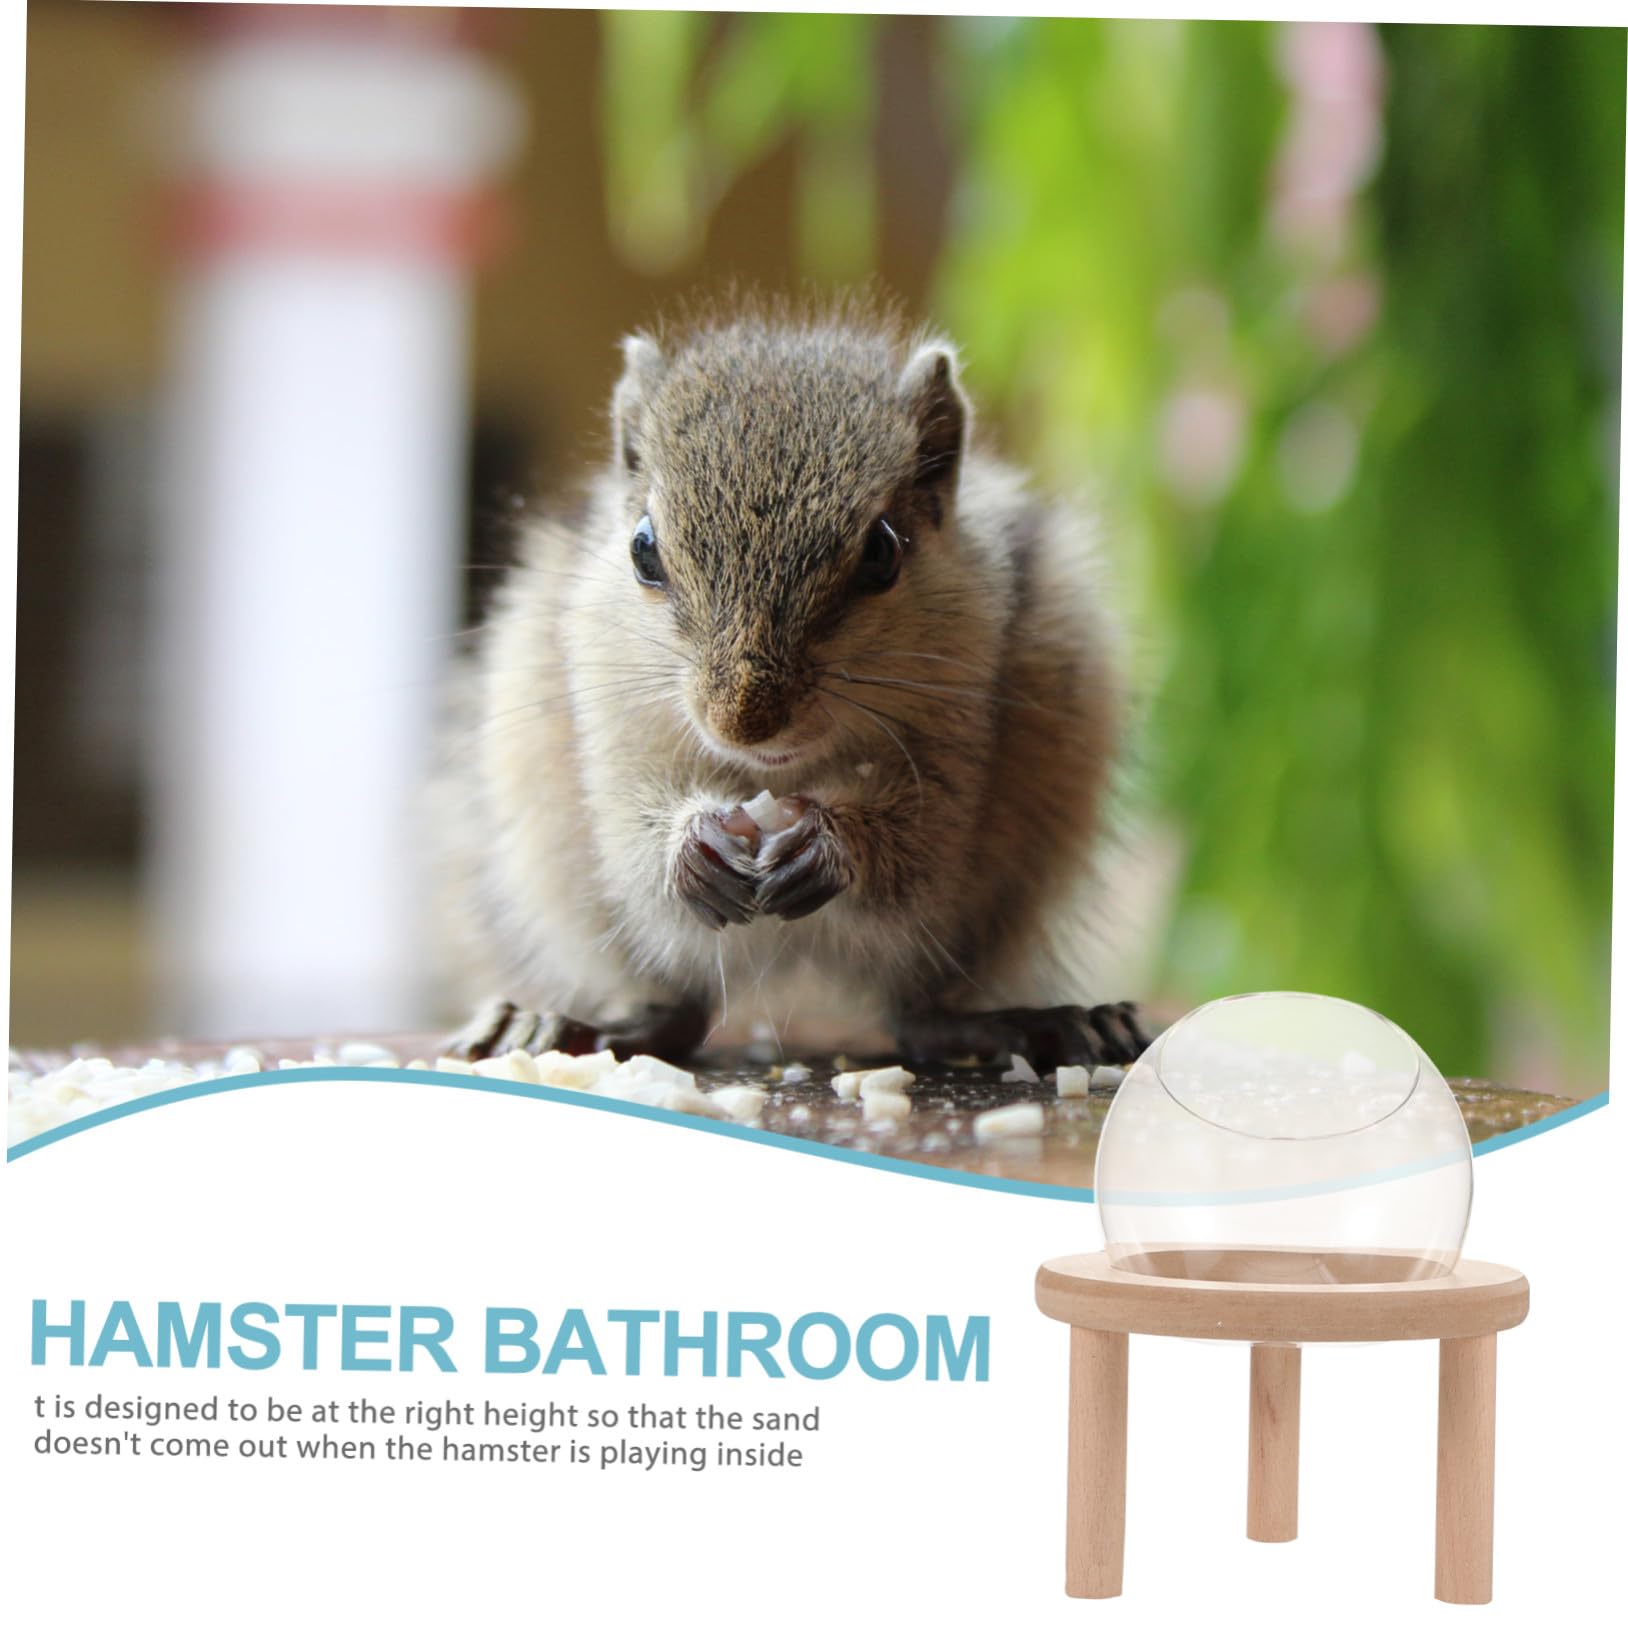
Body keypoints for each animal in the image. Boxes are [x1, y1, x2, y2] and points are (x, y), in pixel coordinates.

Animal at [433, 301, 1148, 1071]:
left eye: (883, 552)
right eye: (643, 550)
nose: (744, 723)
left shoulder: (964, 734)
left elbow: (922, 834)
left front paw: (833, 845)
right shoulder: (609, 725)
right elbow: (629, 823)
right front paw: (688, 846)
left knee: (919, 1019)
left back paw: (1037, 1026)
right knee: (675, 1017)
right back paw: (561, 1024)